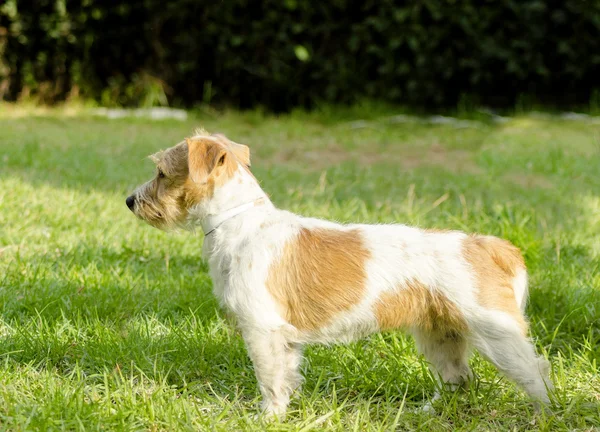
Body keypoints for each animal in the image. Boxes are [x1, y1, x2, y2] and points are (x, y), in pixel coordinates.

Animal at [125, 130, 552, 416]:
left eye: (161, 172)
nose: (129, 201)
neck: (240, 221)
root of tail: (490, 246)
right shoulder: (283, 340)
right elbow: (285, 377)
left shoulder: (261, 330)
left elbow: (269, 379)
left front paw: (267, 417)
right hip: (441, 336)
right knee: (459, 379)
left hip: (498, 335)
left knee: (537, 375)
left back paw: (544, 415)